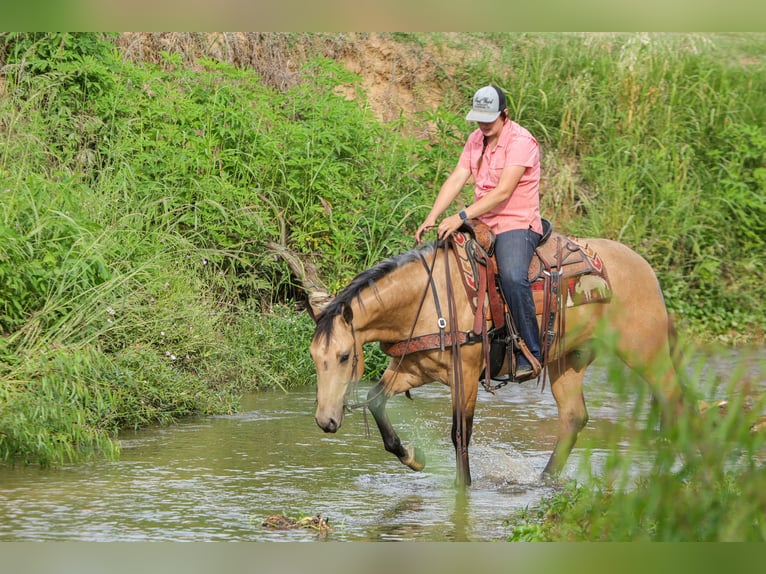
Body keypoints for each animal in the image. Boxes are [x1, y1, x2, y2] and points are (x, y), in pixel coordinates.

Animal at [309, 225, 685, 487]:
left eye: (344, 356)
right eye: (315, 357)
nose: (326, 421)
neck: (429, 300)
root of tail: (646, 268)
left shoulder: (465, 374)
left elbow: (460, 433)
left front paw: (463, 488)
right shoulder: (415, 369)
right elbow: (376, 400)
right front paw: (414, 458)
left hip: (646, 352)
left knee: (673, 400)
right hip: (569, 360)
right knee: (573, 417)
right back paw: (545, 480)